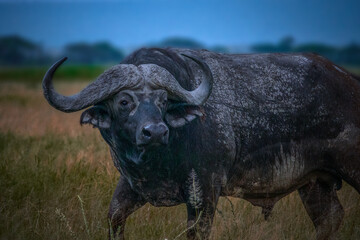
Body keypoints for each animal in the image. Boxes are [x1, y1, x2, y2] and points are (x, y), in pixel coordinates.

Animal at [43, 47, 360, 239]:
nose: (155, 132)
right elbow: (114, 219)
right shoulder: (131, 187)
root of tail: (350, 81)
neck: (158, 162)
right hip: (315, 183)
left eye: (163, 100)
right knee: (330, 219)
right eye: (124, 102)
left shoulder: (204, 192)